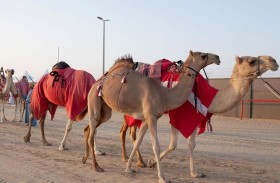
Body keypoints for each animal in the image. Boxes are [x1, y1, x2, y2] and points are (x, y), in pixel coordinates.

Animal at [81, 50, 221, 183]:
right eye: (203, 55)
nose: (218, 57)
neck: (164, 94)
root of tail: (96, 83)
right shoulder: (151, 117)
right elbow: (156, 146)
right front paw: (162, 177)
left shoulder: (146, 118)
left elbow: (138, 142)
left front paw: (129, 168)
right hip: (94, 102)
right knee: (92, 133)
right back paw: (96, 166)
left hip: (105, 111)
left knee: (88, 129)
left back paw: (85, 158)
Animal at [145, 55, 278, 178]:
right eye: (251, 61)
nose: (274, 61)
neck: (209, 96)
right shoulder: (178, 114)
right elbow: (173, 144)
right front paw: (151, 161)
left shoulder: (195, 114)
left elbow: (191, 144)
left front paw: (194, 173)